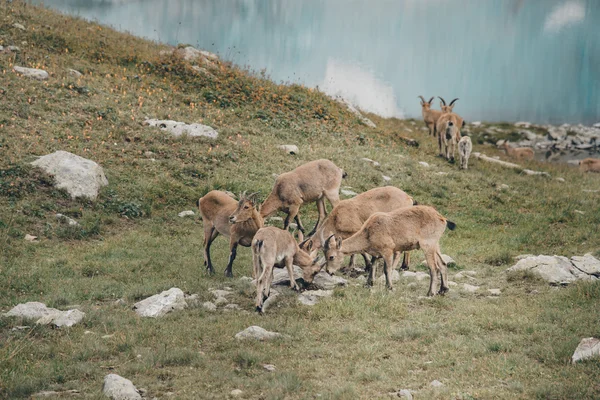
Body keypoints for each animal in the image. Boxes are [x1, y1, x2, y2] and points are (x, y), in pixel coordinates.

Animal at [324, 206, 454, 296]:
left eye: (331, 257)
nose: (329, 272)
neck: (368, 232)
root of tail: (442, 219)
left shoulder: (388, 250)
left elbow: (387, 269)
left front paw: (389, 287)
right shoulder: (376, 253)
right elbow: (373, 265)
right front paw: (368, 283)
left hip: (427, 245)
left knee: (434, 268)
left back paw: (430, 292)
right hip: (435, 245)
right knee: (443, 264)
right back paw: (443, 290)